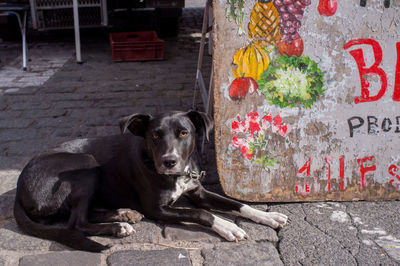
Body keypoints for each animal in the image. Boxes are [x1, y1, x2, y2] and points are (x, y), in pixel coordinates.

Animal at [13, 110, 288, 251]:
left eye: (184, 133)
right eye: (155, 135)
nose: (169, 161)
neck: (177, 176)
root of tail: (17, 189)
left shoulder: (198, 192)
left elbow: (239, 204)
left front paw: (268, 216)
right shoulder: (157, 209)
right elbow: (202, 214)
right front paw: (228, 226)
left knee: (85, 214)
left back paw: (124, 214)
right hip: (86, 163)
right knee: (76, 223)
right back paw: (117, 227)